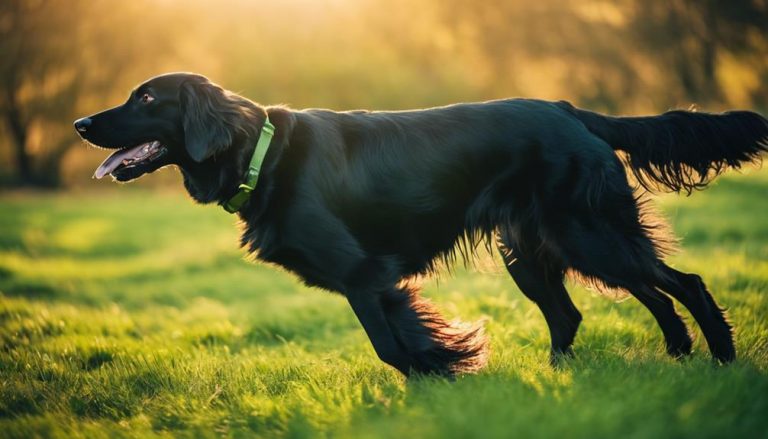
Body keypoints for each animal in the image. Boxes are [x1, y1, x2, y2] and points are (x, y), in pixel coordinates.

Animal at [75, 73, 768, 378]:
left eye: (146, 98)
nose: (81, 123)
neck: (263, 153)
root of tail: (572, 110)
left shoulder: (364, 274)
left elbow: (388, 344)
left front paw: (442, 367)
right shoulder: (375, 281)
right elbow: (397, 341)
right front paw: (443, 367)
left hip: (588, 235)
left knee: (684, 283)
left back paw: (720, 358)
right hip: (539, 250)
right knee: (591, 308)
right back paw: (643, 359)